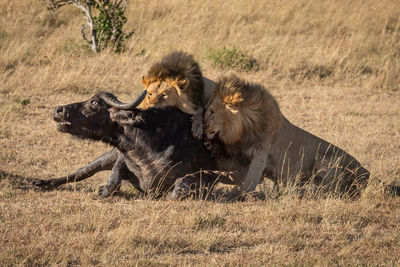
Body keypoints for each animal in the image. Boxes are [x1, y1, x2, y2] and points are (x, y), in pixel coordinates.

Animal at [206, 75, 372, 197]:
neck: (244, 129)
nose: (203, 126)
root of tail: (367, 173)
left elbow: (245, 187)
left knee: (329, 189)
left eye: (212, 112)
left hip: (326, 159)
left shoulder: (260, 157)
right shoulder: (240, 160)